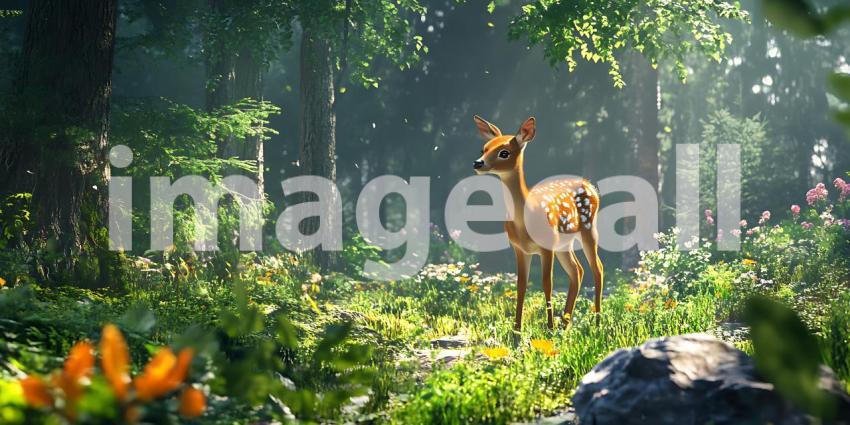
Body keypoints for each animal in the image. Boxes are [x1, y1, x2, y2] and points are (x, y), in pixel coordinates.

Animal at [472, 115, 604, 332]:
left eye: (504, 152)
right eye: (484, 148)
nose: (477, 163)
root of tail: (590, 185)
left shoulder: (546, 246)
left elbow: (546, 283)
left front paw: (548, 327)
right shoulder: (519, 248)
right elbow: (521, 285)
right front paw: (517, 329)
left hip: (588, 228)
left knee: (597, 269)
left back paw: (597, 322)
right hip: (564, 243)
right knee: (577, 271)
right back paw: (565, 323)